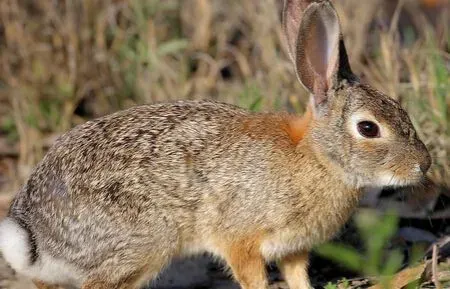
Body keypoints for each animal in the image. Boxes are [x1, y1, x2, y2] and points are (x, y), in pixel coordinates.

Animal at [0, 0, 430, 288]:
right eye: (369, 128)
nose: (423, 165)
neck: (317, 158)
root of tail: (35, 234)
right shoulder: (240, 239)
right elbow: (252, 276)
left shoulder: (293, 249)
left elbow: (298, 278)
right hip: (145, 243)